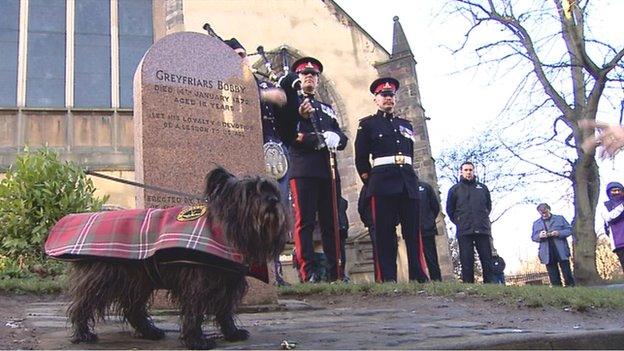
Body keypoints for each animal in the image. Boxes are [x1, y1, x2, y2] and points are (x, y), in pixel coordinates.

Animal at [64, 169, 288, 350]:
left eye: (272, 191)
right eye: (249, 192)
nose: (273, 200)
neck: (225, 229)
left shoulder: (227, 283)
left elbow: (225, 310)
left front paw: (232, 333)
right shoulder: (198, 285)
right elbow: (194, 313)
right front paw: (197, 341)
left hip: (139, 281)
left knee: (133, 309)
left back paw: (150, 332)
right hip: (103, 279)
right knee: (83, 305)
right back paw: (83, 334)